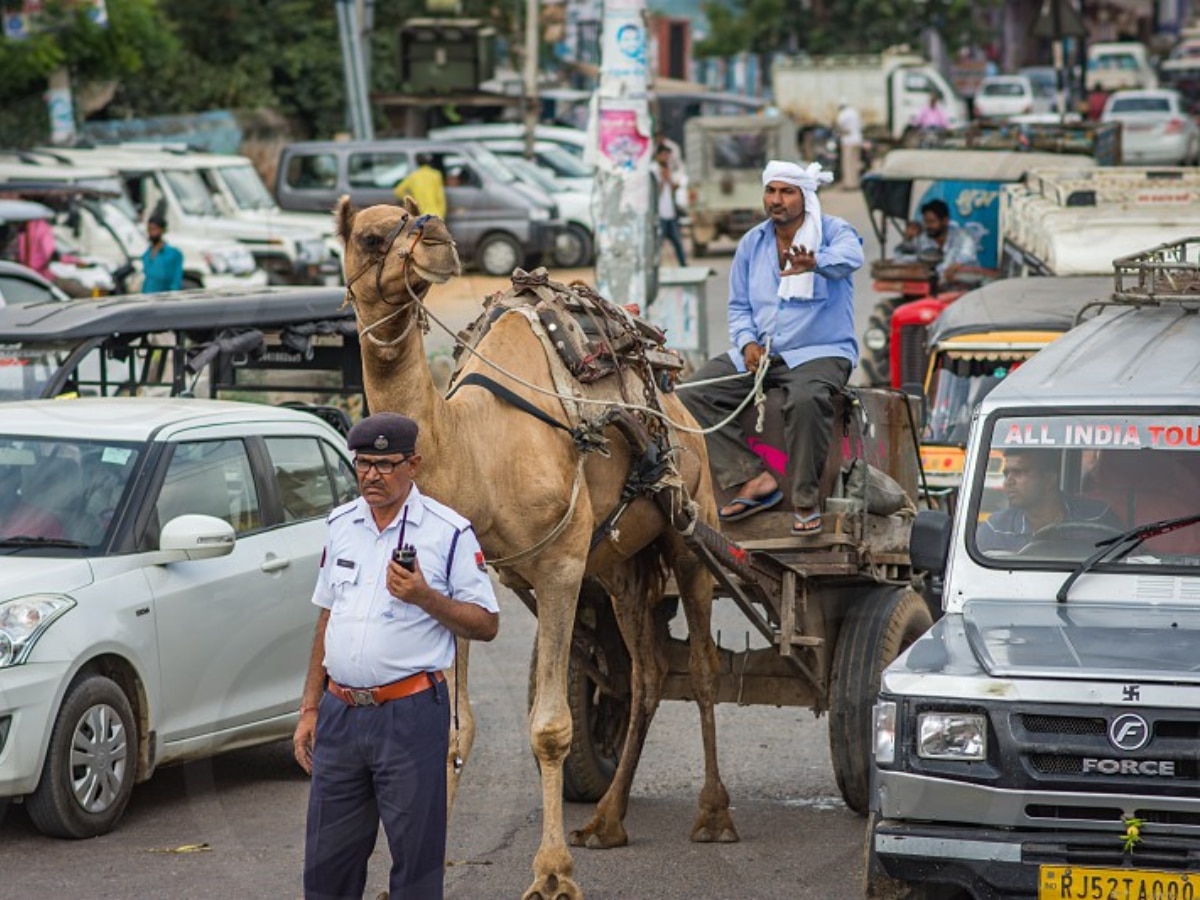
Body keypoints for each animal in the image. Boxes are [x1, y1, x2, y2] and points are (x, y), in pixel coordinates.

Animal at [333, 199, 734, 900]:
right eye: (372, 236)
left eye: (412, 217)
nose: (438, 237)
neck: (477, 448)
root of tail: (678, 401)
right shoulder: (461, 583)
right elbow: (457, 726)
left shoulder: (560, 569)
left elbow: (550, 726)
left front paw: (552, 874)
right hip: (619, 567)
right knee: (648, 671)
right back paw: (606, 821)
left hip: (691, 521)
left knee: (705, 666)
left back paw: (712, 814)